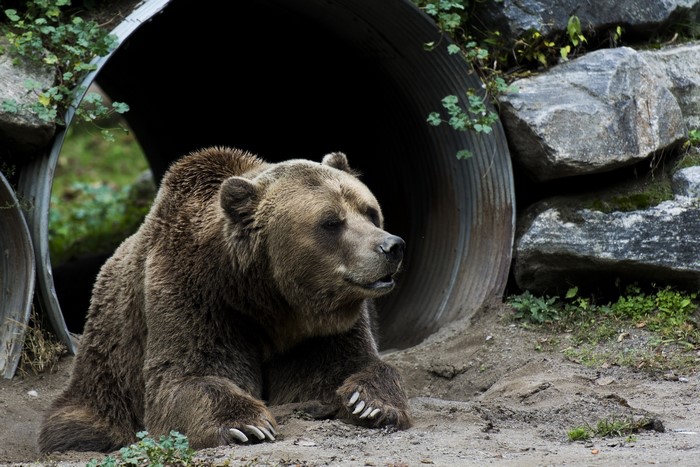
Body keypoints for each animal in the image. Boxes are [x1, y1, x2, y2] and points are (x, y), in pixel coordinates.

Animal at [38, 146, 412, 453]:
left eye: (370, 212)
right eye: (331, 222)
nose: (391, 246)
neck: (270, 298)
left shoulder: (321, 329)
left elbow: (348, 363)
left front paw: (371, 403)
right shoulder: (195, 294)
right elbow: (189, 375)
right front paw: (246, 424)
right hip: (111, 353)